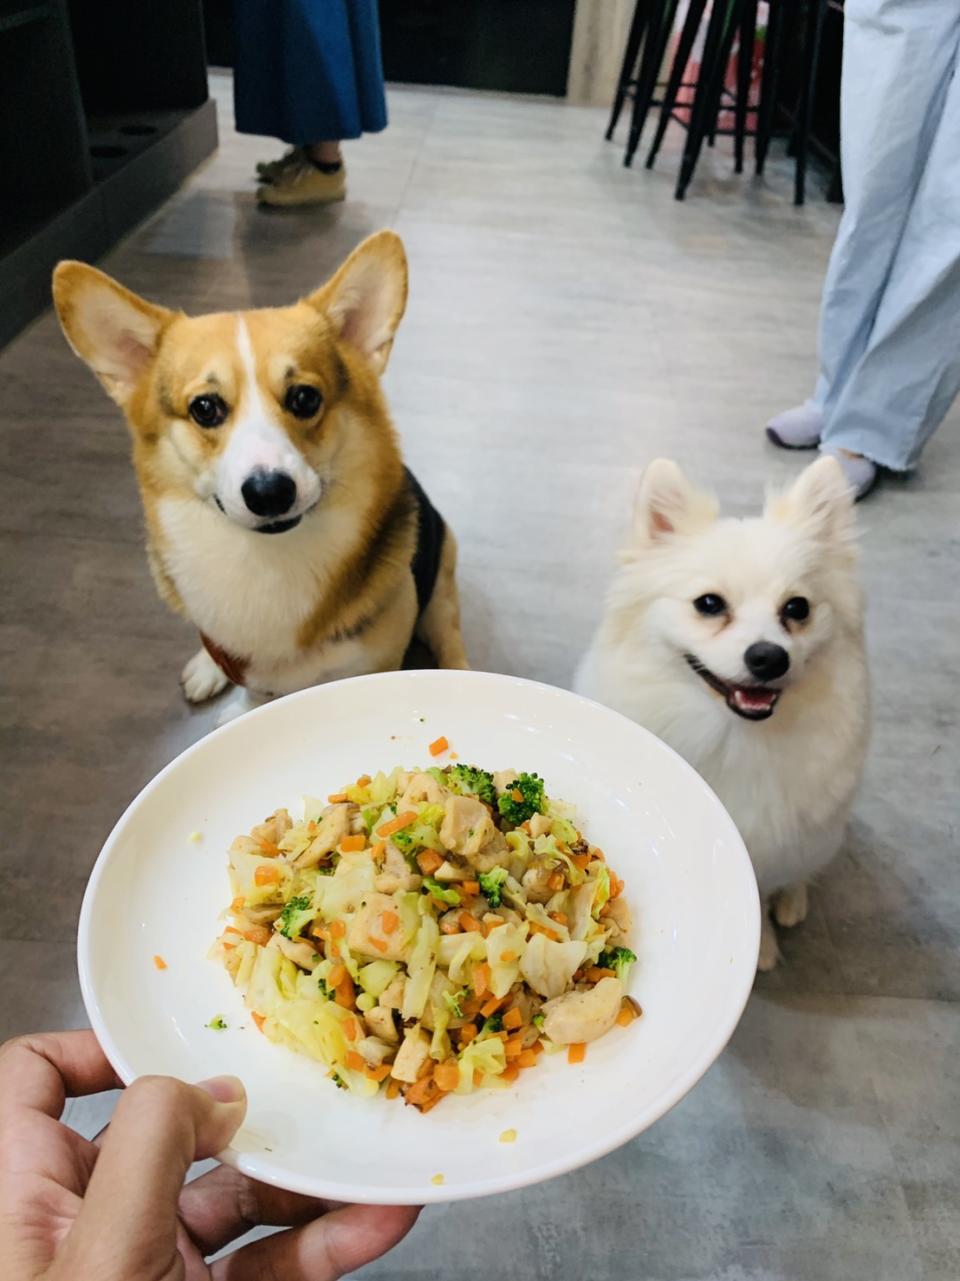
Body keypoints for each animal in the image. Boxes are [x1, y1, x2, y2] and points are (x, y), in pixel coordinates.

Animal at [53, 233, 469, 712]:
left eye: (305, 398)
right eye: (205, 407)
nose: (269, 492)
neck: (268, 560)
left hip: (442, 578)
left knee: (449, 635)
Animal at [574, 461, 871, 968]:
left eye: (798, 608)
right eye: (709, 604)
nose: (769, 657)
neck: (729, 736)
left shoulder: (773, 843)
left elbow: (763, 890)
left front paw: (763, 944)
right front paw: (764, 950)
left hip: (822, 835)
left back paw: (794, 900)